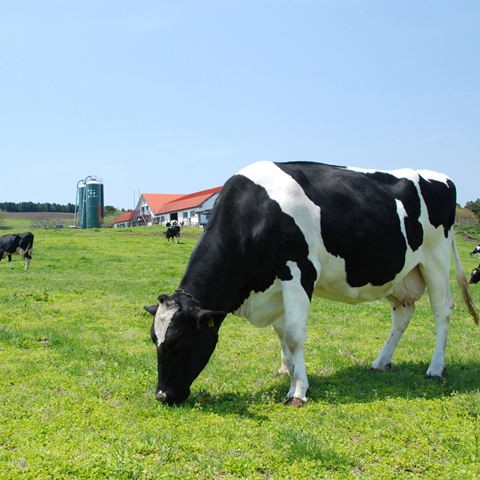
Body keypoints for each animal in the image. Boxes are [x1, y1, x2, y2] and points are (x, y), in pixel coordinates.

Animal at [144, 160, 478, 404]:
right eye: (154, 340)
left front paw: (298, 390)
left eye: (179, 342)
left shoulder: (298, 270)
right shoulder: (275, 285)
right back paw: (381, 361)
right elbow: (281, 333)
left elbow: (294, 334)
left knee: (442, 310)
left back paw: (435, 368)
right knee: (403, 313)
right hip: (400, 274)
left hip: (435, 257)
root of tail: (442, 177)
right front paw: (291, 371)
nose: (162, 395)